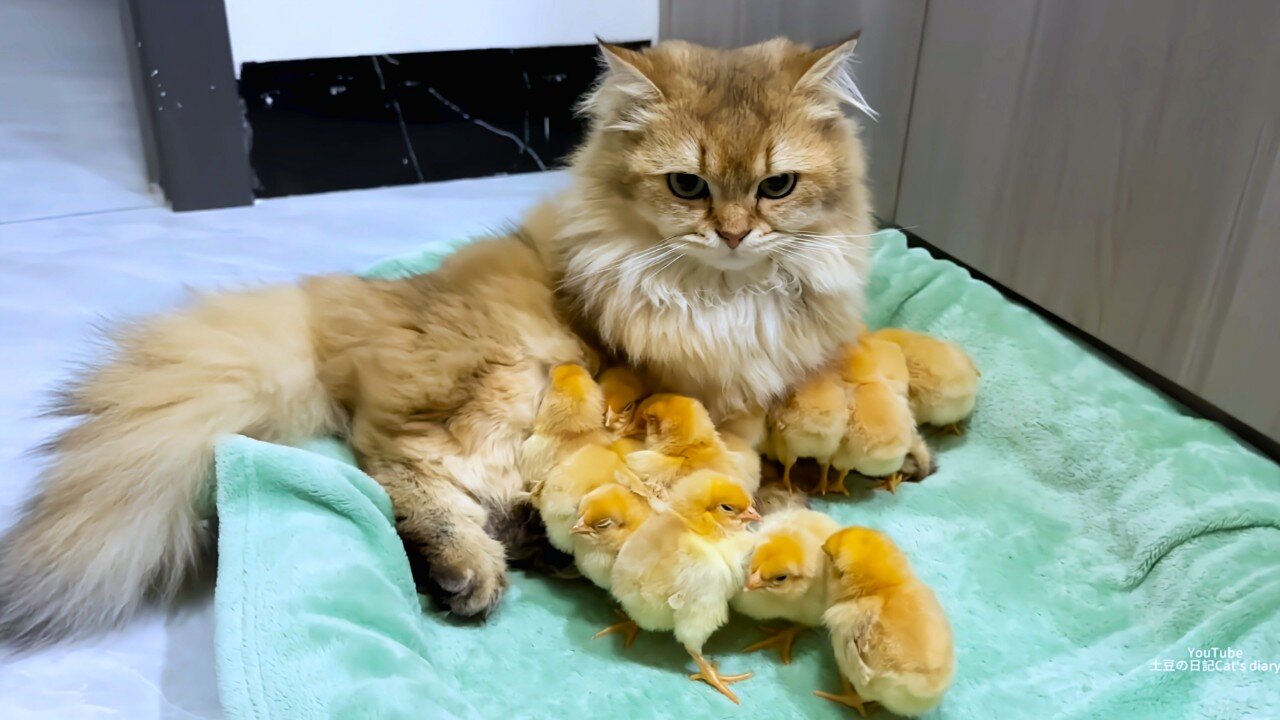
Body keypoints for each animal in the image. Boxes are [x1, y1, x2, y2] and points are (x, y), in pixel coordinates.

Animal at [0, 36, 870, 645]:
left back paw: (518, 548)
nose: (734, 234)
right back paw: (466, 570)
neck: (722, 297)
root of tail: (357, 306)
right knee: (397, 463)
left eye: (777, 186)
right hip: (505, 380)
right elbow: (735, 465)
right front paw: (770, 501)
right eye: (687, 186)